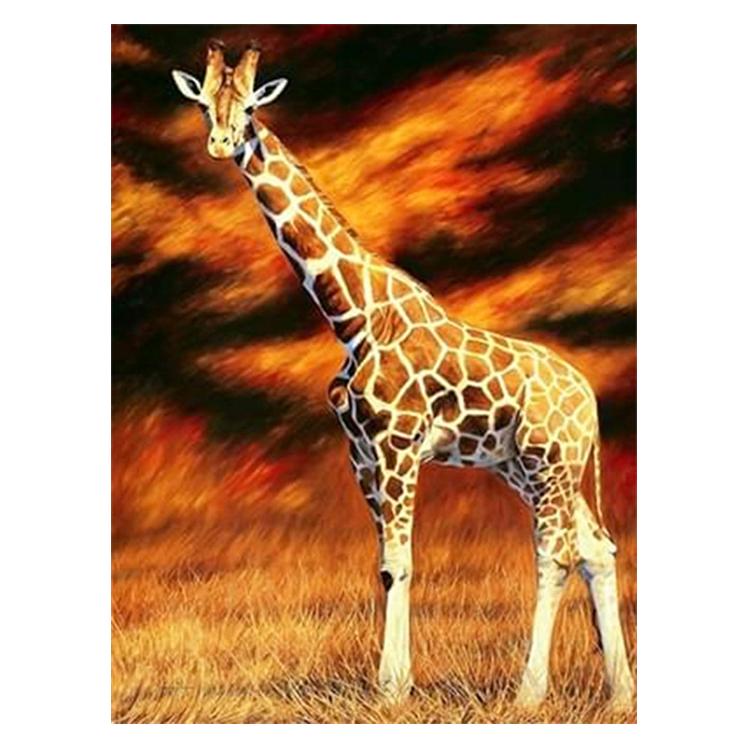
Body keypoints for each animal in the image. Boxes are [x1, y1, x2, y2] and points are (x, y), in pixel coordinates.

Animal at [171, 41, 635, 710]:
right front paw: (393, 682)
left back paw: (529, 692)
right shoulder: (361, 454)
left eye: (250, 106)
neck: (353, 316)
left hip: (549, 462)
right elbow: (387, 565)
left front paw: (392, 689)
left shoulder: (398, 446)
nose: (222, 141)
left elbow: (404, 562)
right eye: (205, 104)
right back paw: (621, 695)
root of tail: (590, 400)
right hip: (528, 467)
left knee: (556, 553)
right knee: (598, 546)